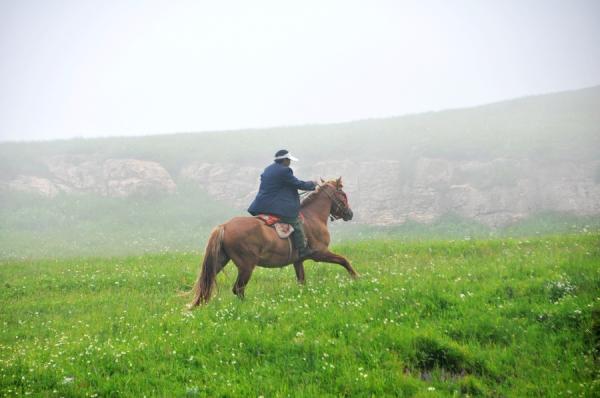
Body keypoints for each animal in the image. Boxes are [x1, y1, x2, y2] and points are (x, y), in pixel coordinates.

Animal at [189, 178, 356, 308]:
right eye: (343, 194)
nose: (350, 214)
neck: (312, 216)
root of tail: (224, 226)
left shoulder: (298, 261)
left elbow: (302, 281)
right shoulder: (320, 253)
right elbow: (344, 260)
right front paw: (356, 278)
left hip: (220, 261)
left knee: (208, 283)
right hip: (246, 266)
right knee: (238, 289)